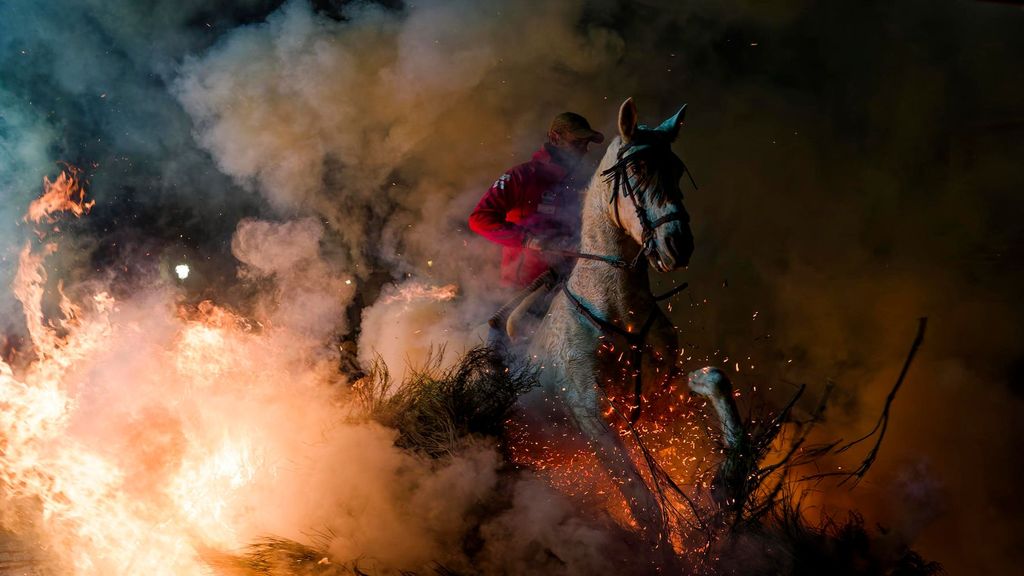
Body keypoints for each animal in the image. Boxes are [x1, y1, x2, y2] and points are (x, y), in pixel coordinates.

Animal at [520, 96, 696, 541]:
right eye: (636, 170)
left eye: (675, 170)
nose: (678, 243)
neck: (615, 309)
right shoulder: (593, 416)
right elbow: (646, 508)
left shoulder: (666, 402)